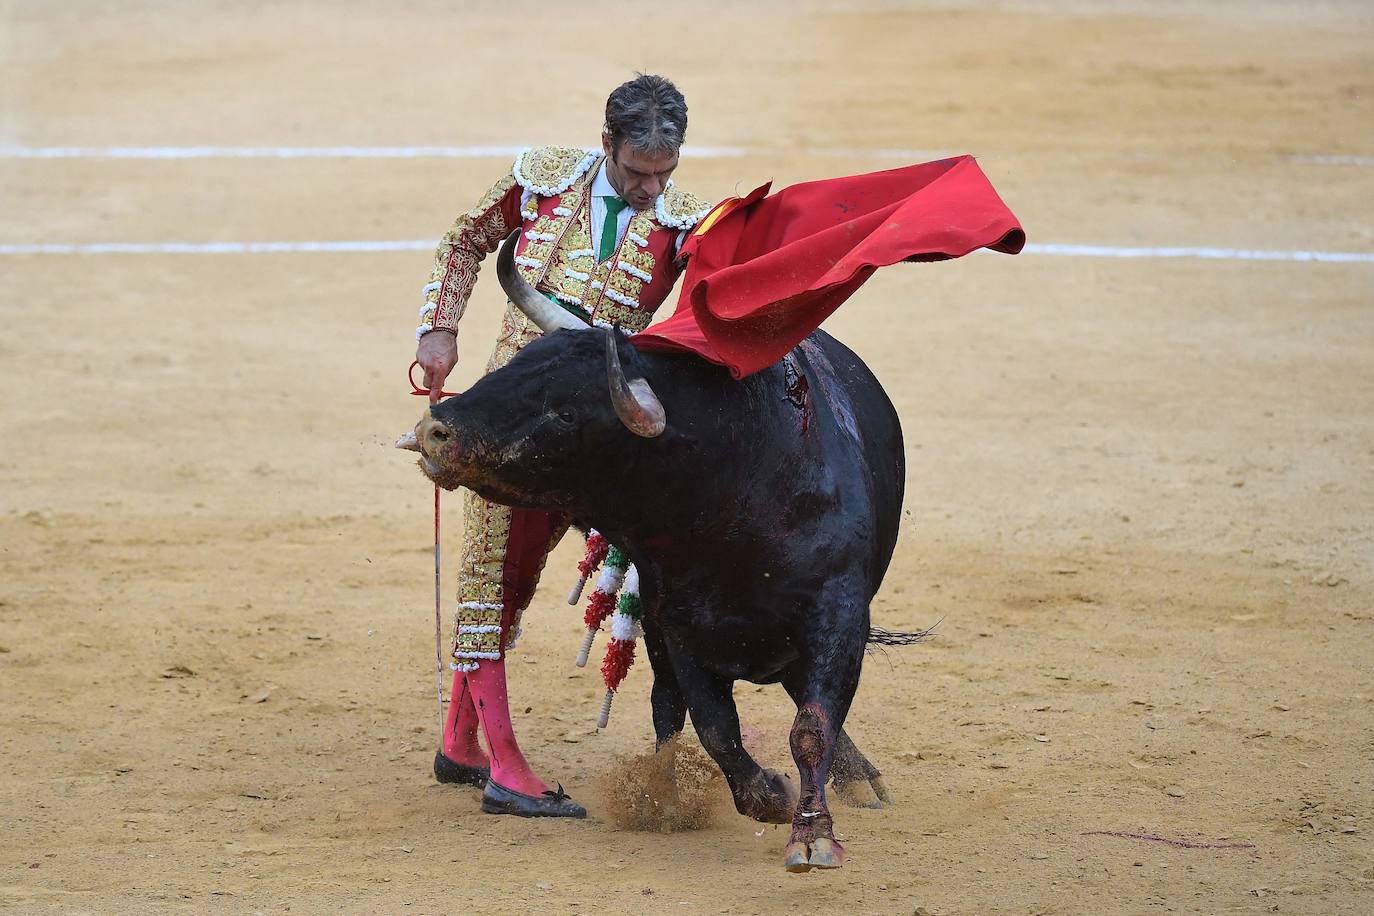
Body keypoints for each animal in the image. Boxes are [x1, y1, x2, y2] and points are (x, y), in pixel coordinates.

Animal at [406, 230, 923, 873]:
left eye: (566, 412)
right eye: (518, 364)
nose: (436, 431)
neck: (734, 483)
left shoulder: (838, 616)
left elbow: (812, 725)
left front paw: (812, 833)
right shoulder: (677, 629)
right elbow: (714, 725)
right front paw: (769, 795)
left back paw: (856, 779)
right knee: (667, 708)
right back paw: (662, 794)